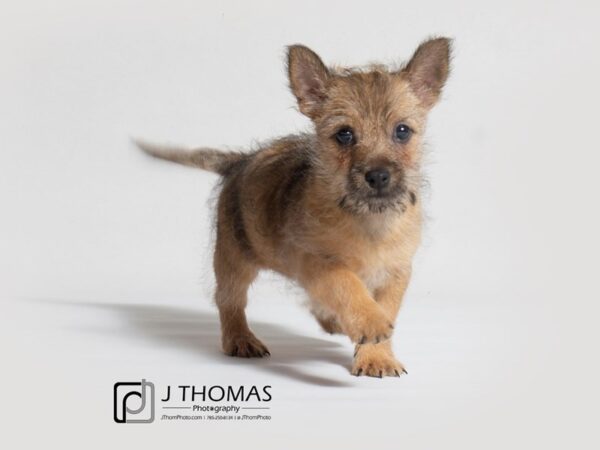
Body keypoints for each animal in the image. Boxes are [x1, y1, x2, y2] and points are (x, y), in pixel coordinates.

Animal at [138, 37, 452, 376]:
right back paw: (240, 339)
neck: (368, 219)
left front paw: (376, 356)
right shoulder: (315, 261)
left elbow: (385, 306)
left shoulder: (396, 272)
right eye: (344, 135)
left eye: (402, 131)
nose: (378, 176)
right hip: (233, 259)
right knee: (229, 300)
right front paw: (370, 324)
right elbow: (347, 285)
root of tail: (240, 160)